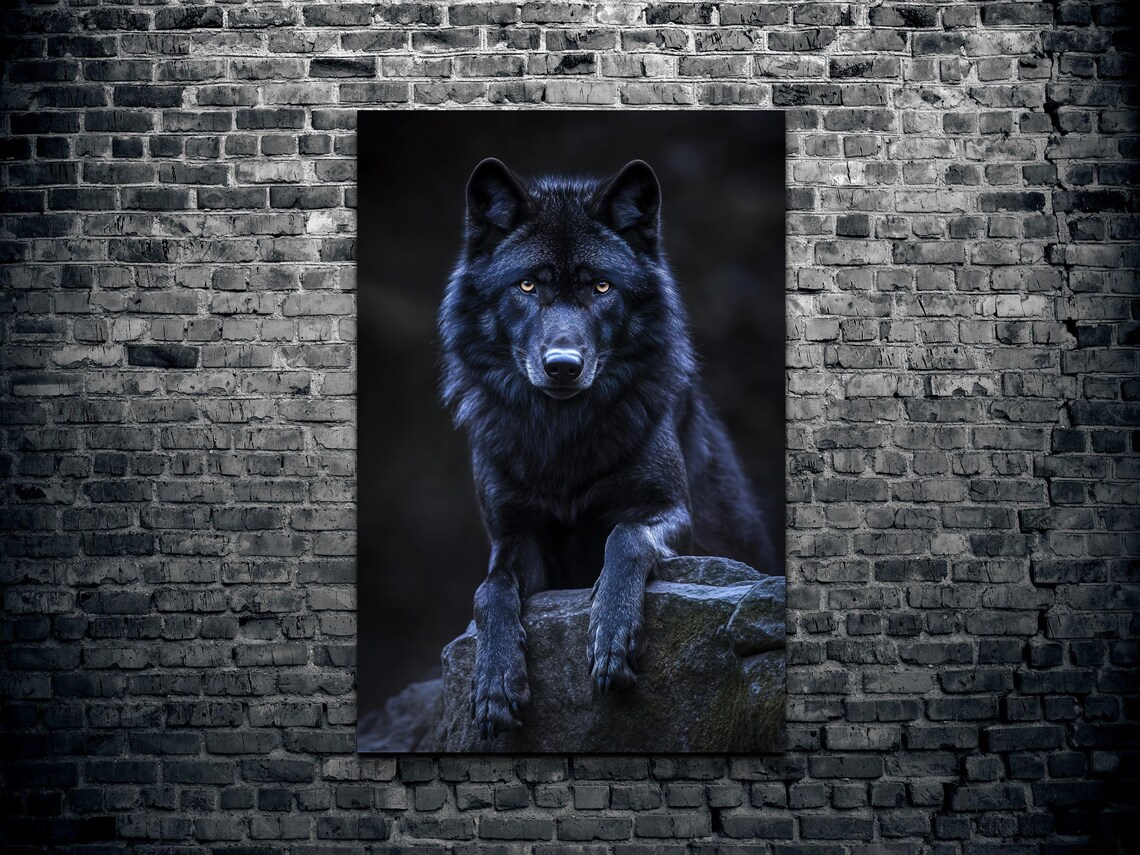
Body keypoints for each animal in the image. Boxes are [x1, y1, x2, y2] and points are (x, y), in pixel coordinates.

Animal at [438, 158, 778, 739]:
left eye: (600, 287)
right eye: (527, 285)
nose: (562, 366)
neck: (563, 440)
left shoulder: (671, 512)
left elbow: (625, 537)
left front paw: (610, 633)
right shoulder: (513, 536)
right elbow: (490, 591)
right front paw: (495, 682)